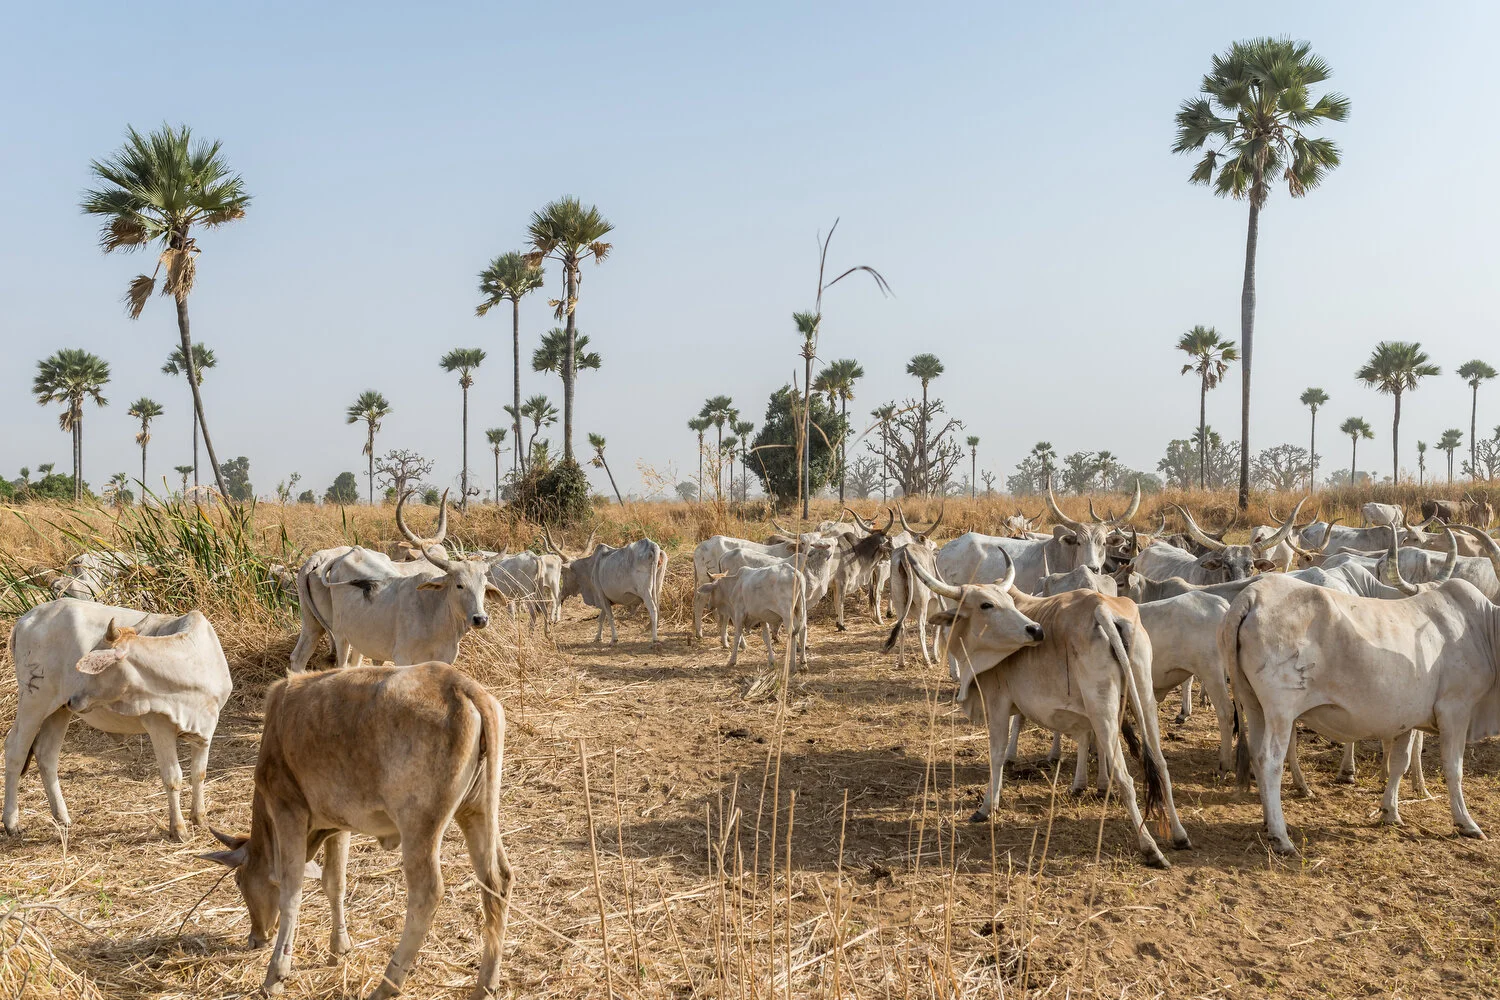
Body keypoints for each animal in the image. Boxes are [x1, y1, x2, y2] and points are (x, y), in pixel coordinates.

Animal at [4, 600, 231, 841]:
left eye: (93, 665)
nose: (73, 698)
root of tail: (27, 618)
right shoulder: (159, 727)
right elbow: (173, 778)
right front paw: (178, 829)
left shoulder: (206, 729)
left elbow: (199, 773)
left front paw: (200, 819)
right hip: (34, 700)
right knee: (15, 749)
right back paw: (12, 823)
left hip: (58, 710)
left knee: (47, 753)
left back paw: (62, 818)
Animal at [200, 662, 511, 1000]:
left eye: (239, 881)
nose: (256, 937)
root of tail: (460, 686)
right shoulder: (337, 825)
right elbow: (334, 883)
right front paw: (339, 948)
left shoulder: (288, 810)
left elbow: (291, 891)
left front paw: (276, 974)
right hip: (478, 810)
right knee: (497, 881)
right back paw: (486, 983)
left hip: (420, 827)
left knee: (427, 893)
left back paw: (387, 984)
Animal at [289, 491, 505, 672]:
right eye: (459, 585)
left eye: (484, 586)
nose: (480, 619)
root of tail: (325, 558)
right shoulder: (402, 657)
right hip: (340, 635)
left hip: (316, 625)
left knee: (300, 657)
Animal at [894, 556, 1191, 867]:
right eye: (986, 604)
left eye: (997, 603)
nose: (1036, 630)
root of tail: (1102, 609)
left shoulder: (997, 702)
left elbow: (997, 754)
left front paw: (987, 806)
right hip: (1143, 697)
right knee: (1160, 764)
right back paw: (1179, 835)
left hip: (1103, 709)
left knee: (1125, 778)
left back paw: (1150, 848)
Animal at [1221, 572, 1500, 854]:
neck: (1484, 629)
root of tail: (1253, 594)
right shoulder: (1455, 709)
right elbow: (1454, 768)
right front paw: (1466, 823)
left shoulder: (1408, 719)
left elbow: (1400, 763)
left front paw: (1391, 812)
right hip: (1281, 710)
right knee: (1269, 761)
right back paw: (1281, 837)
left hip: (1254, 706)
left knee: (1256, 754)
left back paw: (1268, 823)